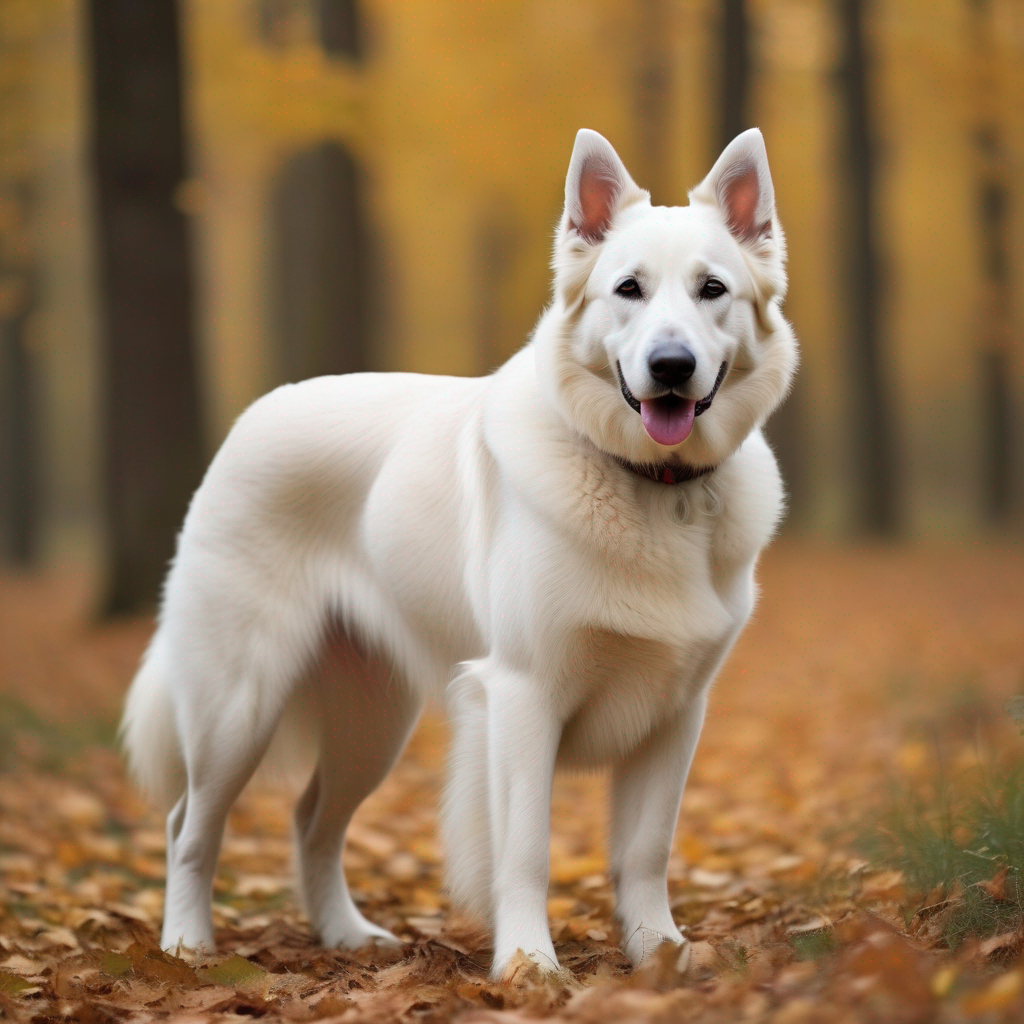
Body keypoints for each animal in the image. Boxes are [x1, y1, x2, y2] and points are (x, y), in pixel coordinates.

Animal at [119, 125, 794, 974]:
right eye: (628, 290)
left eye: (712, 290)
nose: (670, 368)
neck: (651, 486)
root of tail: (255, 415)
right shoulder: (523, 697)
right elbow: (526, 849)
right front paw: (530, 966)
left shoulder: (676, 714)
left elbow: (646, 851)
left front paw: (659, 954)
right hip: (236, 704)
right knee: (188, 826)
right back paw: (186, 946)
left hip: (373, 720)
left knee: (312, 819)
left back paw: (346, 934)